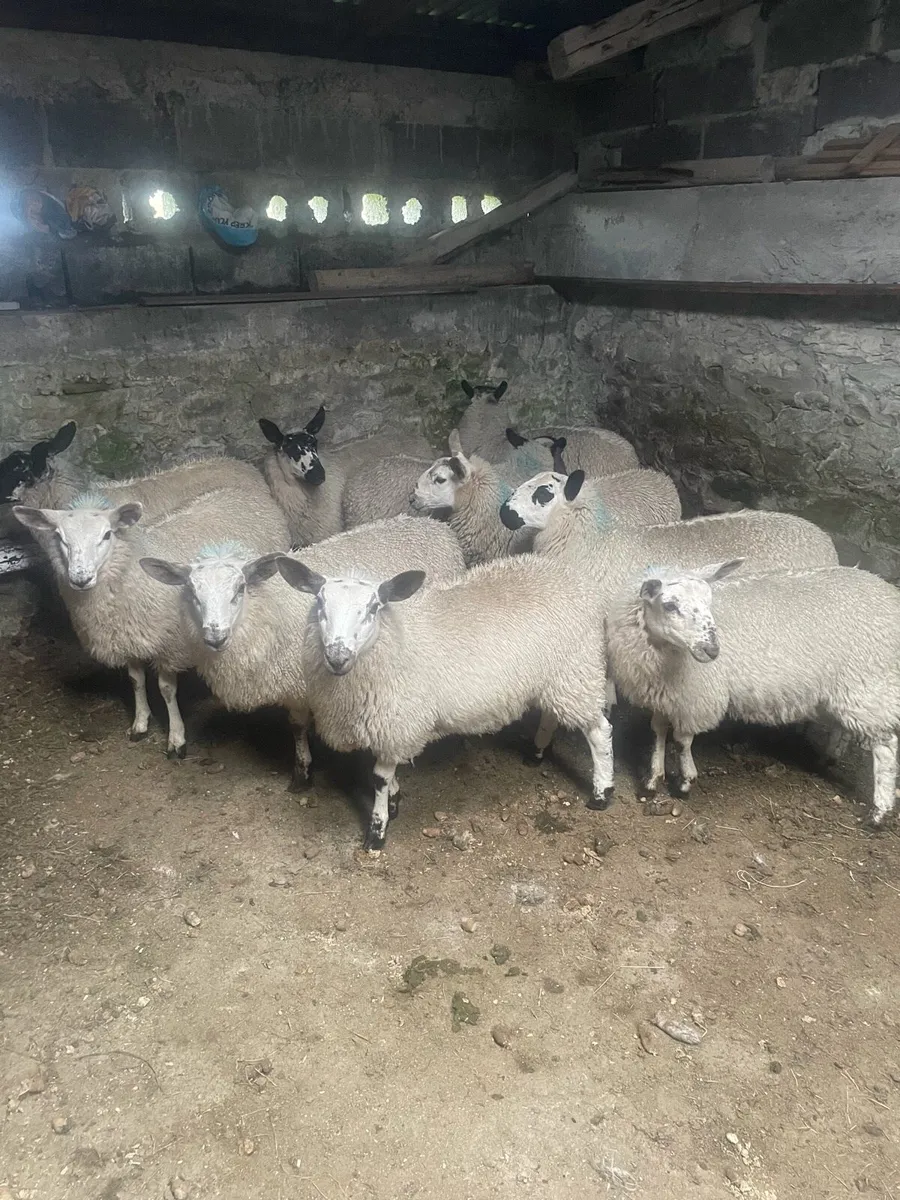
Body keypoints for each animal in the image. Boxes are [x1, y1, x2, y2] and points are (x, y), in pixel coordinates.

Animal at [14, 485, 289, 756]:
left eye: (107, 535)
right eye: (61, 538)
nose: (80, 578)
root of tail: (242, 490)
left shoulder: (170, 645)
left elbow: (166, 691)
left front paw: (176, 738)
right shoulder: (129, 638)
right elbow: (136, 681)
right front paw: (140, 723)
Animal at [139, 515, 465, 789]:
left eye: (240, 588)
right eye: (192, 591)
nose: (215, 636)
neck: (266, 612)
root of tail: (433, 524)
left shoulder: (301, 684)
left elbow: (297, 725)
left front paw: (303, 772)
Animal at [276, 552, 614, 850]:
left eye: (374, 607)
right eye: (320, 602)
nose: (338, 657)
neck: (395, 640)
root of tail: (575, 579)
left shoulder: (396, 722)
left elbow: (379, 778)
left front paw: (377, 831)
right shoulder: (383, 724)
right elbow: (386, 773)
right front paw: (395, 801)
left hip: (577, 669)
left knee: (599, 732)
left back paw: (601, 793)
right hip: (558, 677)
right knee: (552, 715)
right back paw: (537, 752)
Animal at [606, 562, 900, 827]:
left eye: (709, 601)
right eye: (669, 606)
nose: (713, 650)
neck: (662, 655)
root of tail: (888, 592)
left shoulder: (695, 698)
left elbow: (681, 740)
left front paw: (685, 782)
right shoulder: (665, 695)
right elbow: (657, 731)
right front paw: (652, 780)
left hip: (869, 683)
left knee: (886, 747)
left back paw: (877, 813)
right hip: (849, 688)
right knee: (847, 729)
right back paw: (828, 759)